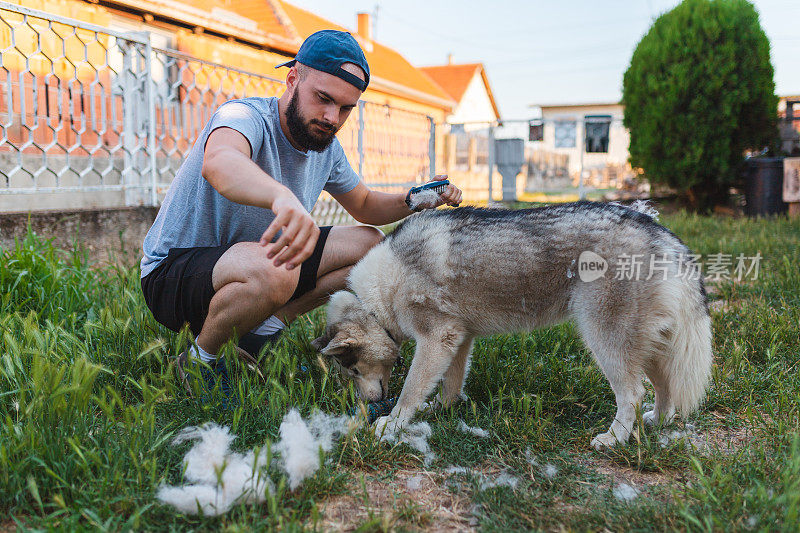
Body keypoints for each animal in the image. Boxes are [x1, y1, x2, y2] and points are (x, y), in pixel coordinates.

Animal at [312, 202, 712, 446]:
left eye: (351, 368)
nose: (368, 404)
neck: (379, 296)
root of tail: (655, 227)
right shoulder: (458, 339)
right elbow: (450, 386)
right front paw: (441, 410)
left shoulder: (436, 338)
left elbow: (411, 390)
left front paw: (393, 423)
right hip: (645, 346)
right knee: (664, 386)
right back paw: (657, 422)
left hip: (605, 340)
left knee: (632, 394)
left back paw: (614, 439)